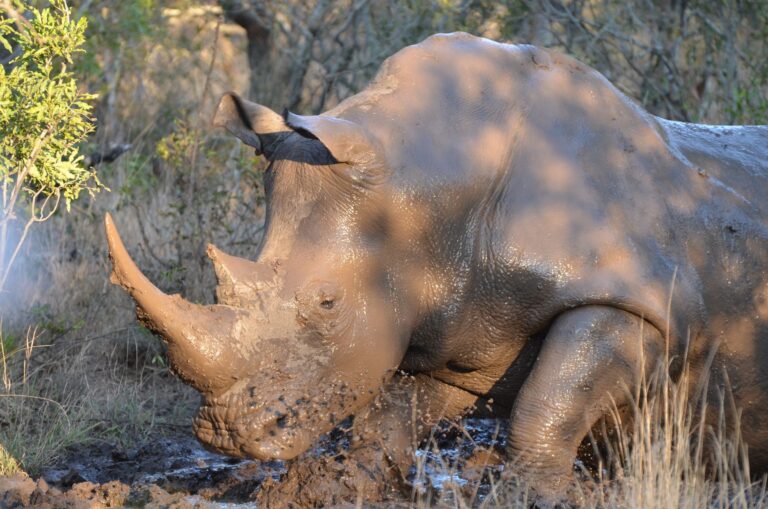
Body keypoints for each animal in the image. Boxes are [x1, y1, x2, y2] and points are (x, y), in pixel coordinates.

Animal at [105, 32, 768, 504]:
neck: (435, 187)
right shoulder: (446, 317)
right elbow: (388, 419)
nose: (224, 433)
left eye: (326, 304)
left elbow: (545, 407)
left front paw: (537, 497)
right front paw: (352, 487)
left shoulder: (633, 302)